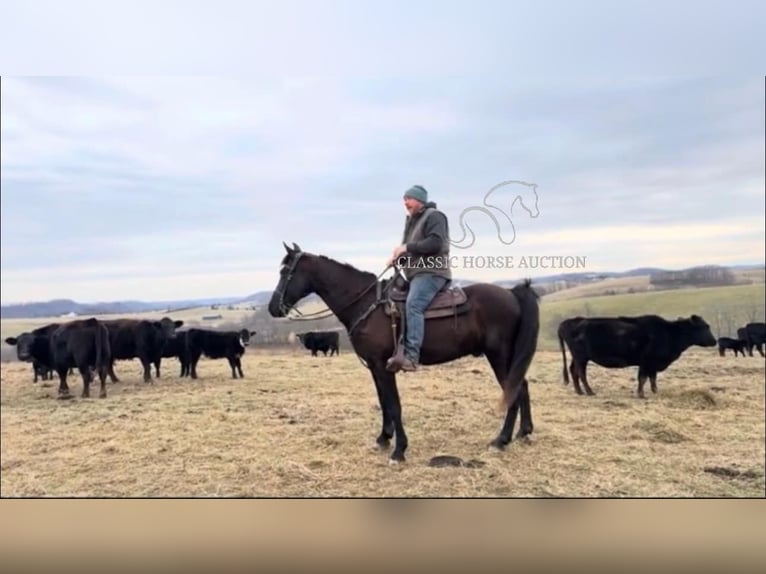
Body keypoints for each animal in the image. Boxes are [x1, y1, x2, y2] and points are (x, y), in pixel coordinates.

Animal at [268, 242, 540, 464]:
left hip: (499, 355)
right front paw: (383, 438)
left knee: (513, 391)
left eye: (286, 272)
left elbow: (394, 404)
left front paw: (399, 451)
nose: (272, 308)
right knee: (523, 386)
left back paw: (501, 440)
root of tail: (512, 293)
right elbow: (383, 402)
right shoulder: (374, 367)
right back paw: (523, 433)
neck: (366, 304)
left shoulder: (383, 365)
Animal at [560, 316, 720, 400]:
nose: (714, 341)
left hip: (577, 358)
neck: (668, 333)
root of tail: (571, 320)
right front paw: (641, 394)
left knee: (573, 371)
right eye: (703, 327)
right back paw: (589, 391)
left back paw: (579, 391)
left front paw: (656, 392)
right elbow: (643, 378)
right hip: (581, 357)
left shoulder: (653, 364)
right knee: (581, 373)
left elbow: (653, 378)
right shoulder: (646, 362)